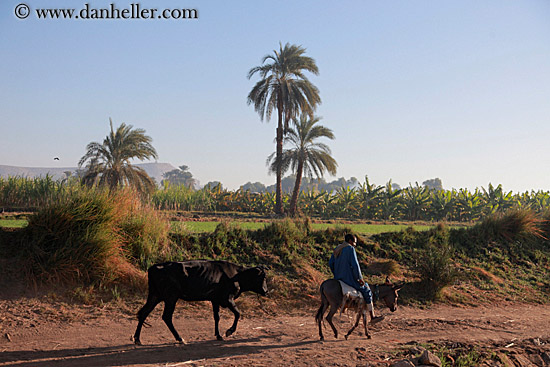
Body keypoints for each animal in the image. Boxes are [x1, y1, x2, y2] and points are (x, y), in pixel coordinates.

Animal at [133, 258, 268, 344]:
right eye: (262, 277)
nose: (266, 291)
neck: (236, 276)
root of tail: (155, 267)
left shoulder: (215, 300)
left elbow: (217, 317)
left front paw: (218, 335)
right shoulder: (227, 298)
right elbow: (238, 313)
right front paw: (229, 331)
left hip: (155, 295)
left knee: (144, 312)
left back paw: (137, 339)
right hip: (171, 297)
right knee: (166, 316)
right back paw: (179, 338)